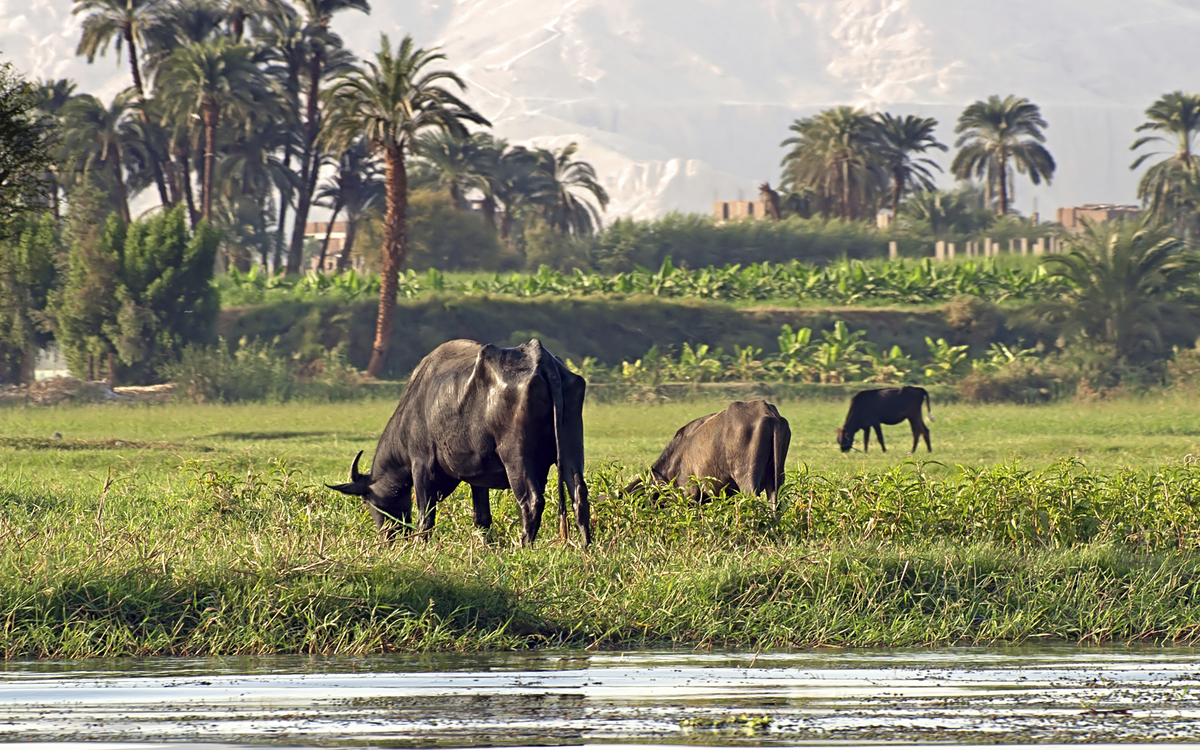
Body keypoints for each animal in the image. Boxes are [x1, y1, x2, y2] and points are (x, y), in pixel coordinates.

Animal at [327, 339, 590, 547]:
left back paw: (524, 545)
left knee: (531, 500)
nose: (388, 537)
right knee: (579, 494)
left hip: (516, 457)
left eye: (367, 500)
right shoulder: (478, 477)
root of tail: (543, 360)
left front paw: (420, 544)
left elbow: (425, 514)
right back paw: (586, 546)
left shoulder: (421, 464)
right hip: (571, 449)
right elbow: (481, 517)